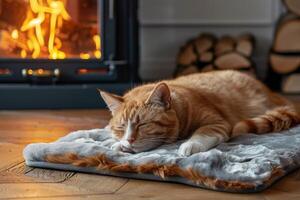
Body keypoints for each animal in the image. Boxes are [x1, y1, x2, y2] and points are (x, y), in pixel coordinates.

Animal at [99, 70, 300, 156]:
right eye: (121, 127)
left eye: (143, 124)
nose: (129, 140)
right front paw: (116, 143)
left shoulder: (218, 123)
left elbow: (203, 133)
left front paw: (189, 145)